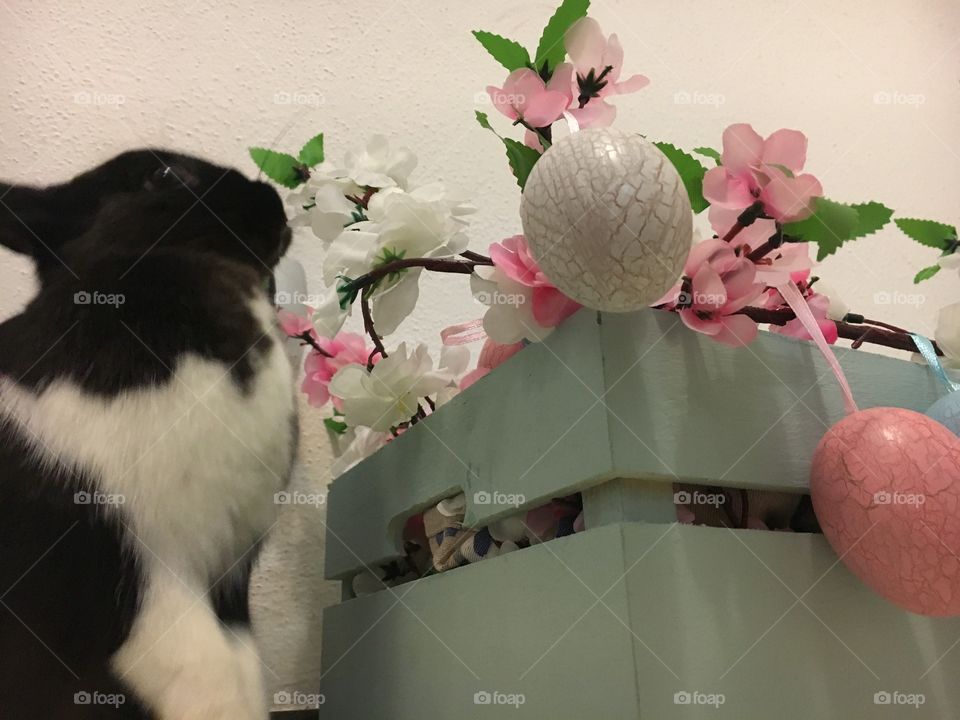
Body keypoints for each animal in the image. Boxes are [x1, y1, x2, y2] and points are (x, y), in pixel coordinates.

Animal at [0, 149, 297, 719]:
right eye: (163, 175)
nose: (273, 201)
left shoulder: (230, 591)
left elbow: (244, 677)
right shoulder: (154, 578)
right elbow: (207, 682)